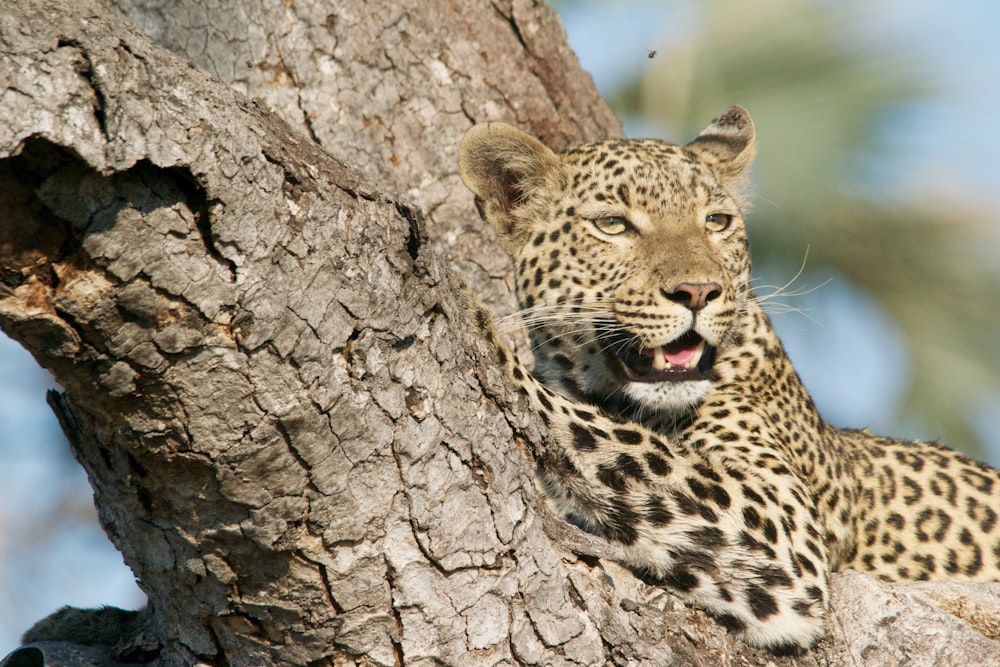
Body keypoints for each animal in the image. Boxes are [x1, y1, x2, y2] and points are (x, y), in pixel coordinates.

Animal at [458, 105, 1000, 652]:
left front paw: (466, 310)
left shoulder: (781, 531)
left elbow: (601, 431)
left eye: (716, 222)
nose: (698, 292)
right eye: (612, 224)